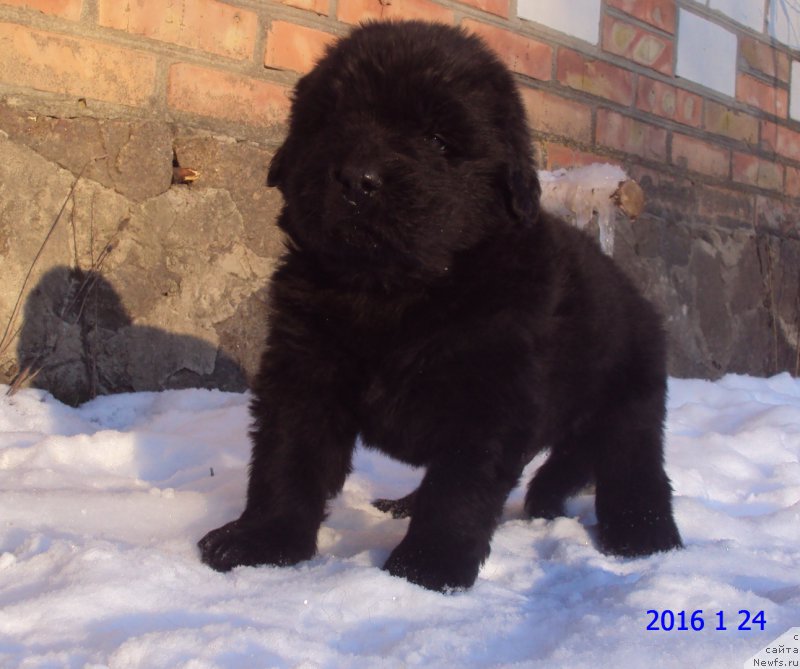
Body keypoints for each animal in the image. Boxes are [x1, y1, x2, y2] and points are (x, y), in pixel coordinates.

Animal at [200, 19, 680, 588]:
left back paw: (645, 538)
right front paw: (262, 542)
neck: (395, 290)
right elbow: (285, 459)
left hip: (630, 401)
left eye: (436, 139)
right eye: (333, 123)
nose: (358, 179)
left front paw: (428, 568)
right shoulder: (303, 371)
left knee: (636, 469)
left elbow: (459, 489)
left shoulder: (489, 395)